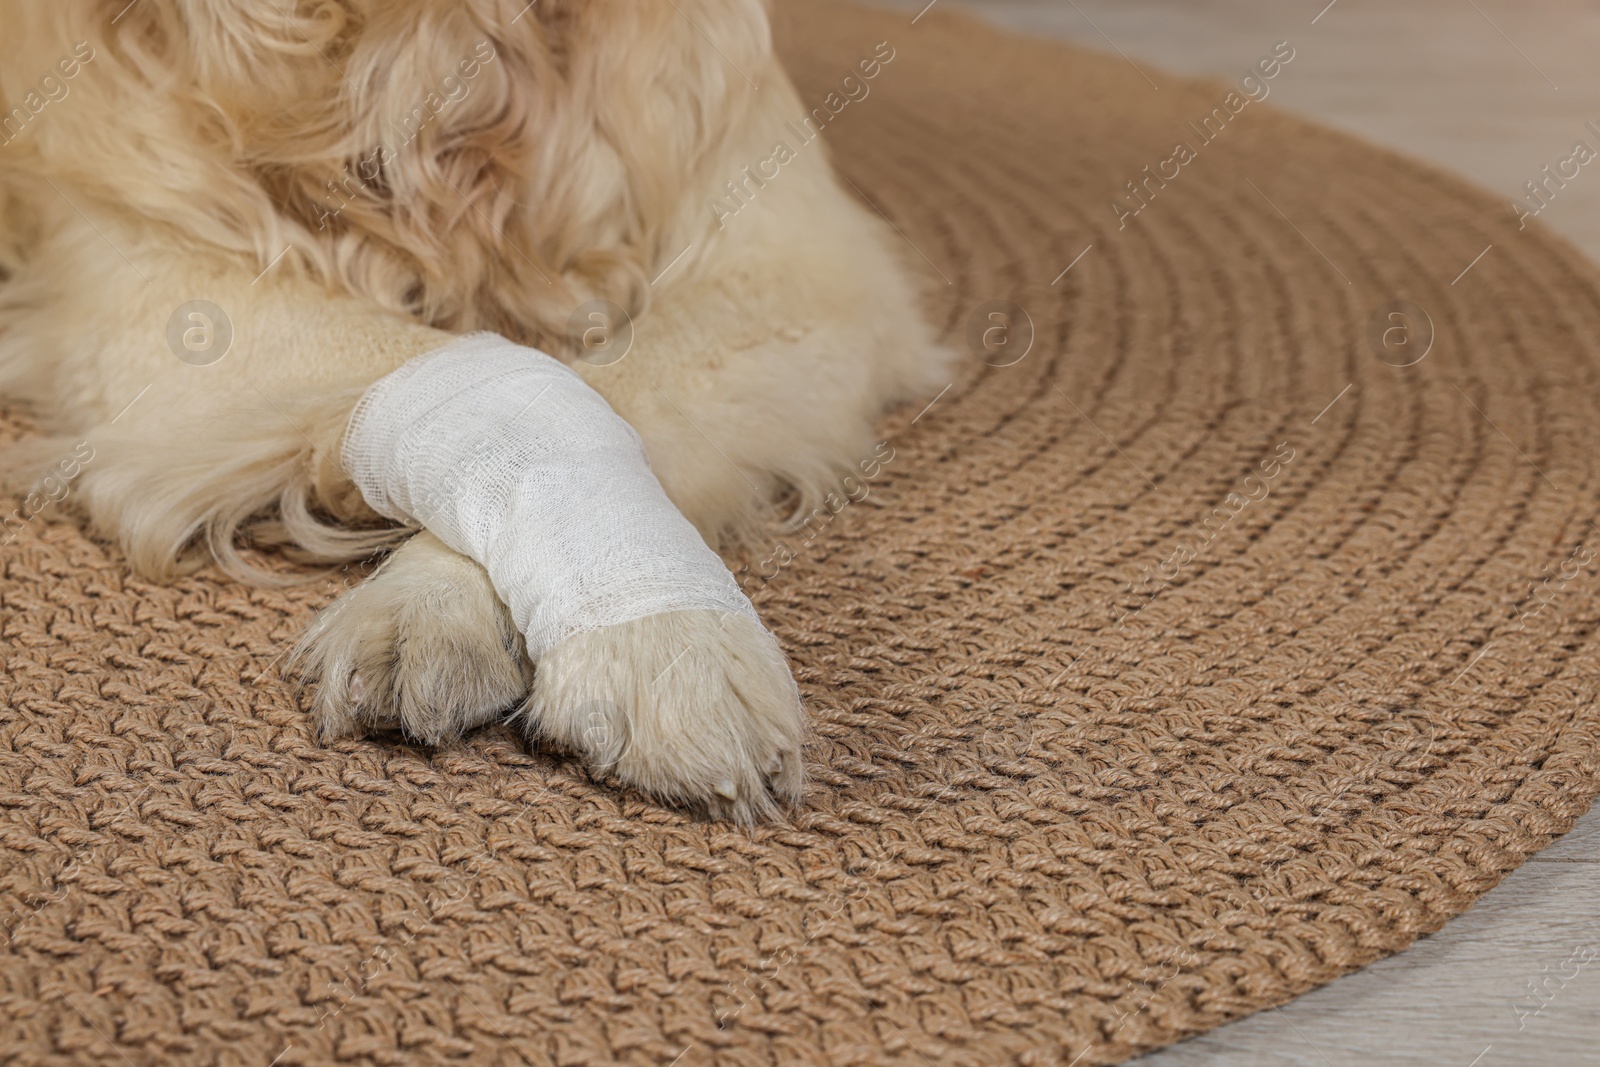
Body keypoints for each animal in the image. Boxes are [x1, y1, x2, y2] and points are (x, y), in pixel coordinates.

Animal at [0, 0, 947, 825]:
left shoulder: (790, 265)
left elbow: (601, 388)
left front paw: (650, 632)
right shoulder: (165, 277)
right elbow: (506, 380)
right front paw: (662, 637)